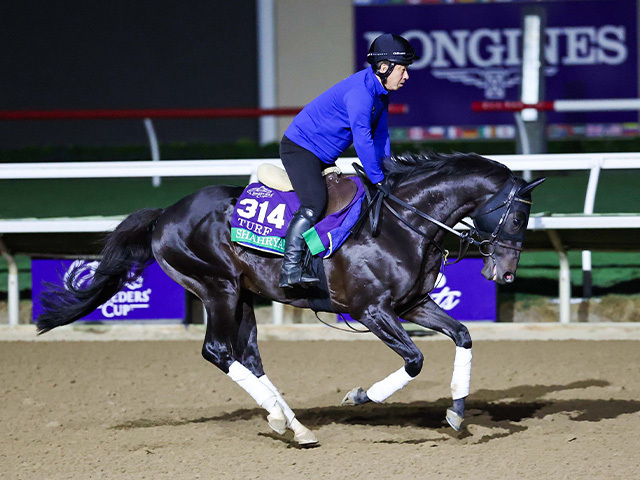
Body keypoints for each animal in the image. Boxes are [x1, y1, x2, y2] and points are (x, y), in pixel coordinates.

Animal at [36, 151, 544, 446]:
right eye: (519, 218)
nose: (504, 272)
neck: (402, 223)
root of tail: (164, 215)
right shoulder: (371, 311)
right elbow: (415, 361)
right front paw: (361, 395)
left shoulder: (412, 305)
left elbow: (463, 335)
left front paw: (457, 414)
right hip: (217, 288)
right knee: (217, 351)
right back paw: (286, 422)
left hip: (243, 296)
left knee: (249, 357)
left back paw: (291, 425)